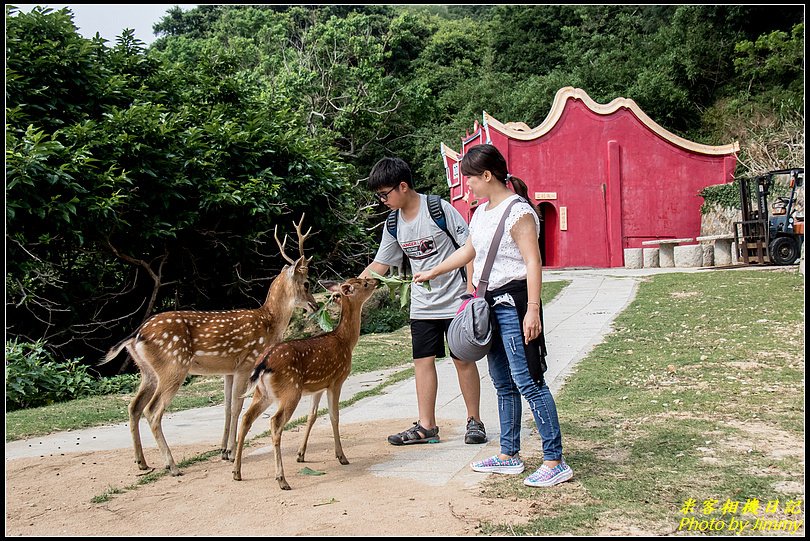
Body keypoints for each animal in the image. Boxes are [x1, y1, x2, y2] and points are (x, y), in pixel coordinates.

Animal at [100, 213, 316, 474]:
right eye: (307, 283)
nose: (315, 305)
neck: (270, 322)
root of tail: (136, 335)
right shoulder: (247, 362)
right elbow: (237, 406)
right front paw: (230, 452)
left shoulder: (229, 370)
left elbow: (227, 406)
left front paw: (223, 450)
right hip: (173, 366)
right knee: (152, 411)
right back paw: (171, 465)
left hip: (147, 371)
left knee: (134, 407)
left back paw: (142, 462)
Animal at [229, 276, 378, 488]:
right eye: (364, 283)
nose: (377, 281)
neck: (345, 341)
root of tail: (263, 364)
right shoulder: (336, 380)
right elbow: (334, 416)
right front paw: (341, 456)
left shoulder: (318, 387)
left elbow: (312, 416)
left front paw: (301, 454)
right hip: (291, 390)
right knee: (275, 422)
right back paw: (282, 479)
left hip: (263, 393)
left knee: (246, 417)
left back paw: (237, 471)